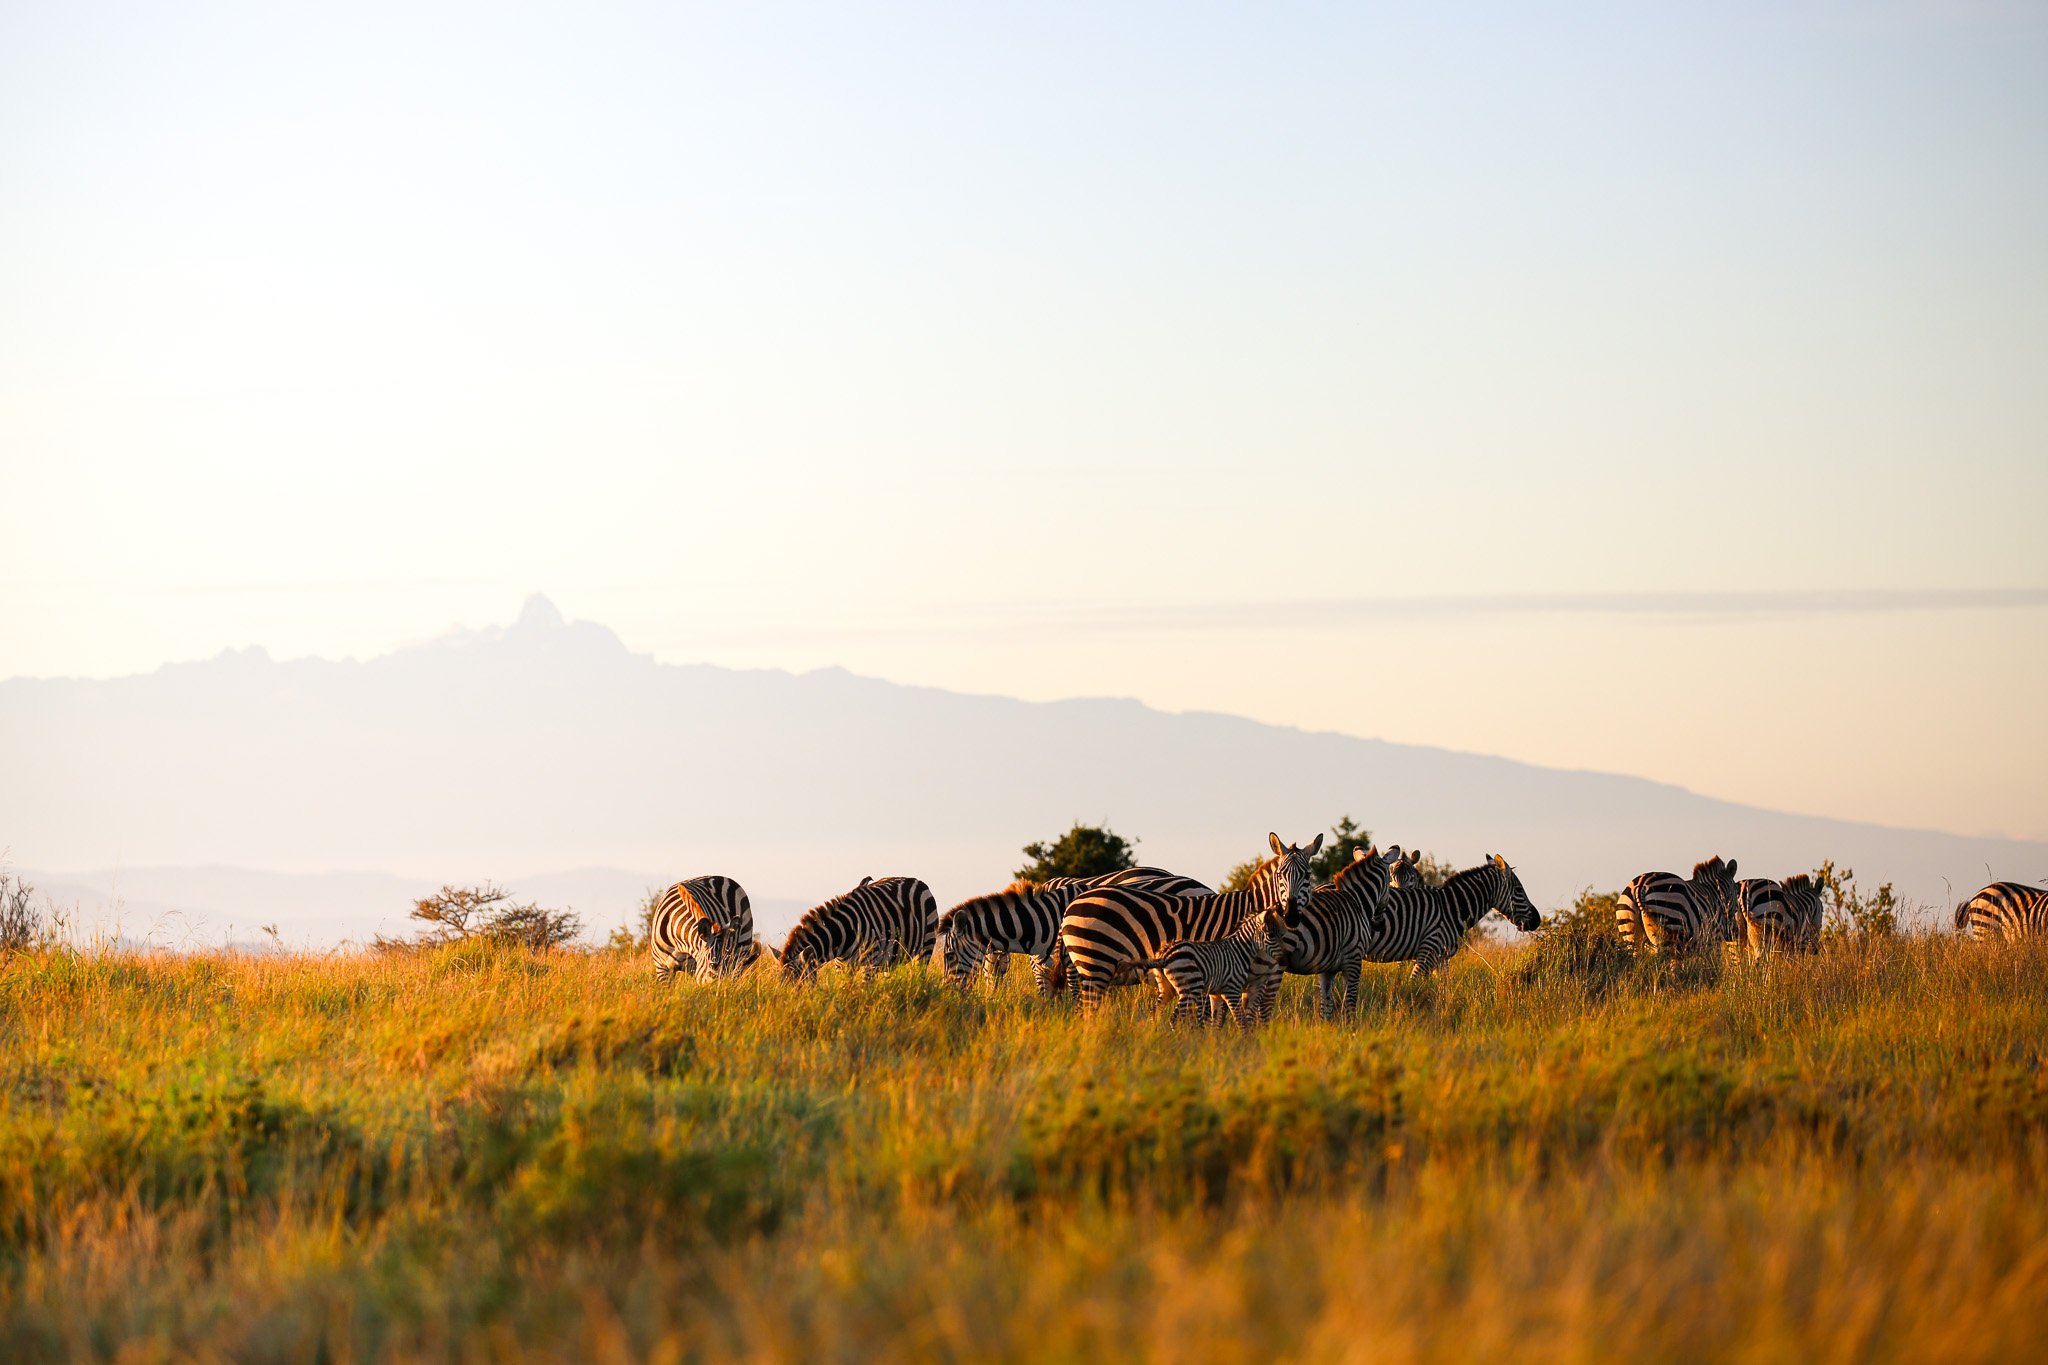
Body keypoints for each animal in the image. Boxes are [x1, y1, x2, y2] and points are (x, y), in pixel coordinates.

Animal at [779, 875, 938, 980]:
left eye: (800, 983)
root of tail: (917, 880)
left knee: (920, 973)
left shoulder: (870, 961)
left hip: (927, 944)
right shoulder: (841, 966)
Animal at [1126, 908, 1290, 1028]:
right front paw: (1245, 1041)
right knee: (1174, 1017)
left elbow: (1215, 1020)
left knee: (1156, 1014)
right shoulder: (1232, 989)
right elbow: (1240, 1020)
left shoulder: (1216, 993)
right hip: (1190, 988)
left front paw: (1213, 1042)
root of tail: (1164, 956)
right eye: (1271, 935)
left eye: (1281, 935)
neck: (1241, 950)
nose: (1285, 960)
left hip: (1167, 988)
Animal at [1254, 844, 1400, 1020]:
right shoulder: (1354, 959)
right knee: (1263, 1005)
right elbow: (1350, 1003)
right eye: (1389, 882)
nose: (1379, 924)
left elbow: (1326, 1004)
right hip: (1274, 964)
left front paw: (1325, 1025)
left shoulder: (1327, 968)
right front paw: (1350, 1026)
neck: (1356, 900)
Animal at [1363, 855, 1541, 976]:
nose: (1537, 920)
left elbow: (1443, 990)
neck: (1450, 907)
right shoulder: (1428, 952)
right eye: (1518, 890)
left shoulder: (1441, 958)